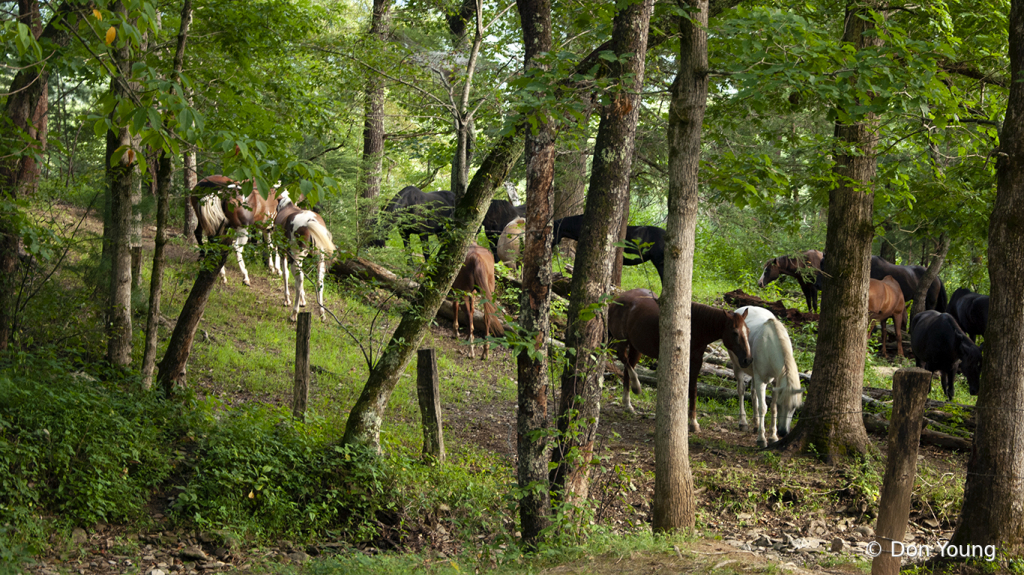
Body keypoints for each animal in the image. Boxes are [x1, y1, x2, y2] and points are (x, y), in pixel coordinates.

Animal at [272, 189, 335, 319]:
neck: (287, 204)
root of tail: (311, 222)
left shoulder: (283, 251)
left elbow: (285, 274)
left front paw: (287, 300)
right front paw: (303, 300)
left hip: (295, 256)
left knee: (299, 279)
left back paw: (294, 314)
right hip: (319, 258)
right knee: (319, 281)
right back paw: (322, 313)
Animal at [606, 286, 753, 429]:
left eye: (748, 331)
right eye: (735, 333)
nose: (748, 360)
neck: (695, 326)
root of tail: (616, 299)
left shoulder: (696, 361)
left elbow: (693, 389)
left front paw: (693, 422)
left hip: (636, 347)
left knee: (627, 367)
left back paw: (627, 404)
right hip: (621, 341)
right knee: (623, 358)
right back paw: (636, 387)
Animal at [724, 302, 802, 446]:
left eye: (794, 407)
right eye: (782, 405)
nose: (783, 432)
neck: (769, 346)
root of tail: (740, 309)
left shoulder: (776, 382)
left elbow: (772, 407)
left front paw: (773, 436)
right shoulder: (762, 381)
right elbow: (763, 408)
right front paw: (761, 439)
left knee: (753, 392)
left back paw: (756, 423)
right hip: (738, 366)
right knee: (741, 390)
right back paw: (743, 423)